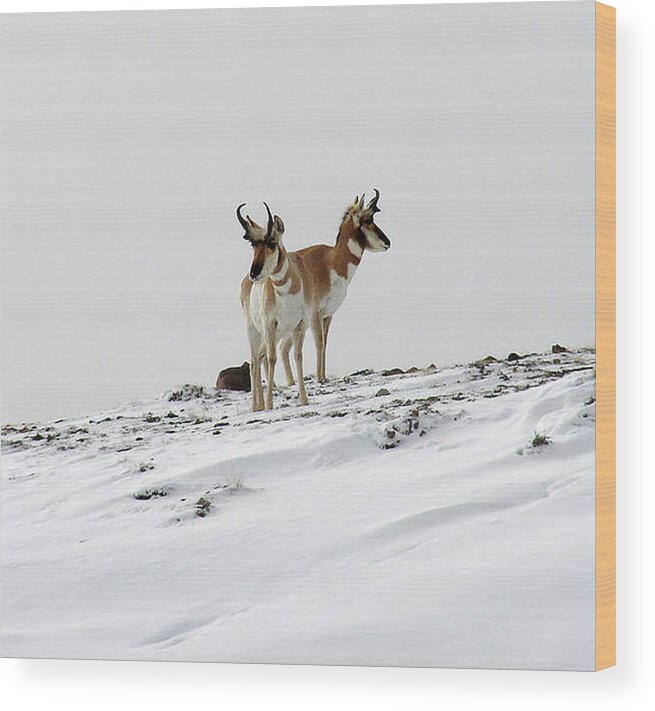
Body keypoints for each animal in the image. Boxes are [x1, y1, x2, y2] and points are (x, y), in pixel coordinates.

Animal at [238, 200, 316, 412]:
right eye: (253, 244)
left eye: (271, 243)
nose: (254, 273)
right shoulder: (270, 324)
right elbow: (272, 358)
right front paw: (270, 404)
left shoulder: (300, 325)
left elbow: (298, 356)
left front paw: (304, 399)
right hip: (256, 332)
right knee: (255, 360)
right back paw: (256, 406)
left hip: (274, 334)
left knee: (260, 357)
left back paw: (259, 404)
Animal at [284, 191, 390, 384]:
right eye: (368, 220)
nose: (388, 243)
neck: (331, 263)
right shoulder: (315, 314)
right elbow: (319, 343)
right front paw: (320, 378)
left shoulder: (328, 314)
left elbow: (325, 343)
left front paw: (323, 376)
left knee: (281, 349)